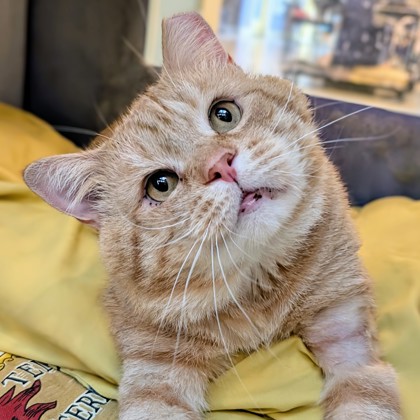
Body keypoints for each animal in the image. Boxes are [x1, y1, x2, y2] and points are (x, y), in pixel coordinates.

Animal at [24, 12, 401, 420]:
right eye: (160, 185)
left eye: (223, 113)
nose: (221, 165)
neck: (260, 291)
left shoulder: (349, 337)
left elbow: (364, 398)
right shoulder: (156, 369)